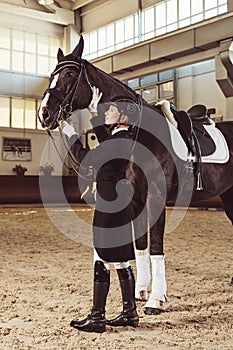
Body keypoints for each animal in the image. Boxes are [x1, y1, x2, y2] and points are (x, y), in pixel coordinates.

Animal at [38, 37, 233, 316]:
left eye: (69, 74)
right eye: (52, 74)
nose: (44, 113)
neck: (138, 132)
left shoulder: (156, 198)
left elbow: (156, 247)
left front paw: (156, 299)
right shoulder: (134, 200)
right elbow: (140, 245)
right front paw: (141, 292)